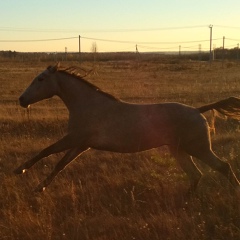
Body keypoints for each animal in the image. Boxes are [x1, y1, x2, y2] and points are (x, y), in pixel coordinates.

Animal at [14, 63, 240, 193]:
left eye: (41, 79)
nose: (22, 100)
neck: (88, 105)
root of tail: (197, 110)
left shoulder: (74, 139)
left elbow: (47, 151)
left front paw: (19, 170)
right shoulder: (81, 144)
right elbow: (60, 164)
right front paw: (38, 188)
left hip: (198, 148)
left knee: (223, 167)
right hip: (179, 150)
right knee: (196, 175)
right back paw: (185, 201)